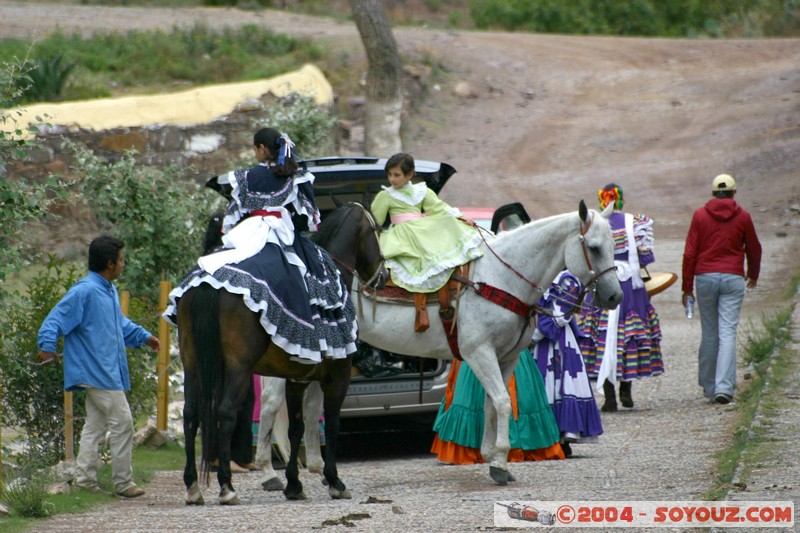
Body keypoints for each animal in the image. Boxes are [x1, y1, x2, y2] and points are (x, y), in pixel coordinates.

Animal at [177, 203, 388, 502]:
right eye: (377, 230)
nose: (384, 276)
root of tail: (209, 282)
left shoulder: (296, 376)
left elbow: (296, 425)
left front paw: (294, 484)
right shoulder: (339, 375)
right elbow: (331, 423)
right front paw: (334, 480)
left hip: (193, 365)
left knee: (191, 414)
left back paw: (193, 486)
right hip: (238, 369)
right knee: (226, 412)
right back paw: (227, 486)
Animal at [256, 197, 620, 484]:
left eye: (614, 246)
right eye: (593, 247)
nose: (615, 296)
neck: (498, 279)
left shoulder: (506, 357)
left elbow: (494, 403)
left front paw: (492, 456)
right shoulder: (479, 353)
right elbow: (503, 402)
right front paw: (500, 462)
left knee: (312, 402)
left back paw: (318, 468)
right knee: (273, 401)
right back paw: (269, 473)